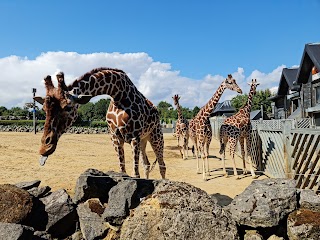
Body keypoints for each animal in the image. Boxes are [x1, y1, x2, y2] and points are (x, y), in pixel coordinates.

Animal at [36, 66, 166, 179]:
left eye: (68, 107)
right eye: (44, 109)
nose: (44, 148)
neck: (118, 94)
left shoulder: (134, 136)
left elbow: (135, 174)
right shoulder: (115, 137)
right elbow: (123, 170)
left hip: (156, 136)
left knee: (162, 165)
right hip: (144, 139)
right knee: (146, 164)